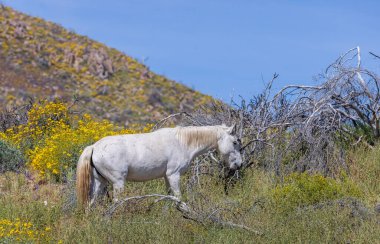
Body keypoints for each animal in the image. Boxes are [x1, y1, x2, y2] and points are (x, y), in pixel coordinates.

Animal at [76, 124, 243, 206]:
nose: (239, 164)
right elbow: (178, 198)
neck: (182, 142)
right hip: (118, 183)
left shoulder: (167, 178)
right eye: (235, 142)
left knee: (91, 203)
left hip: (100, 182)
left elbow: (170, 197)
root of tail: (94, 147)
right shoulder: (174, 175)